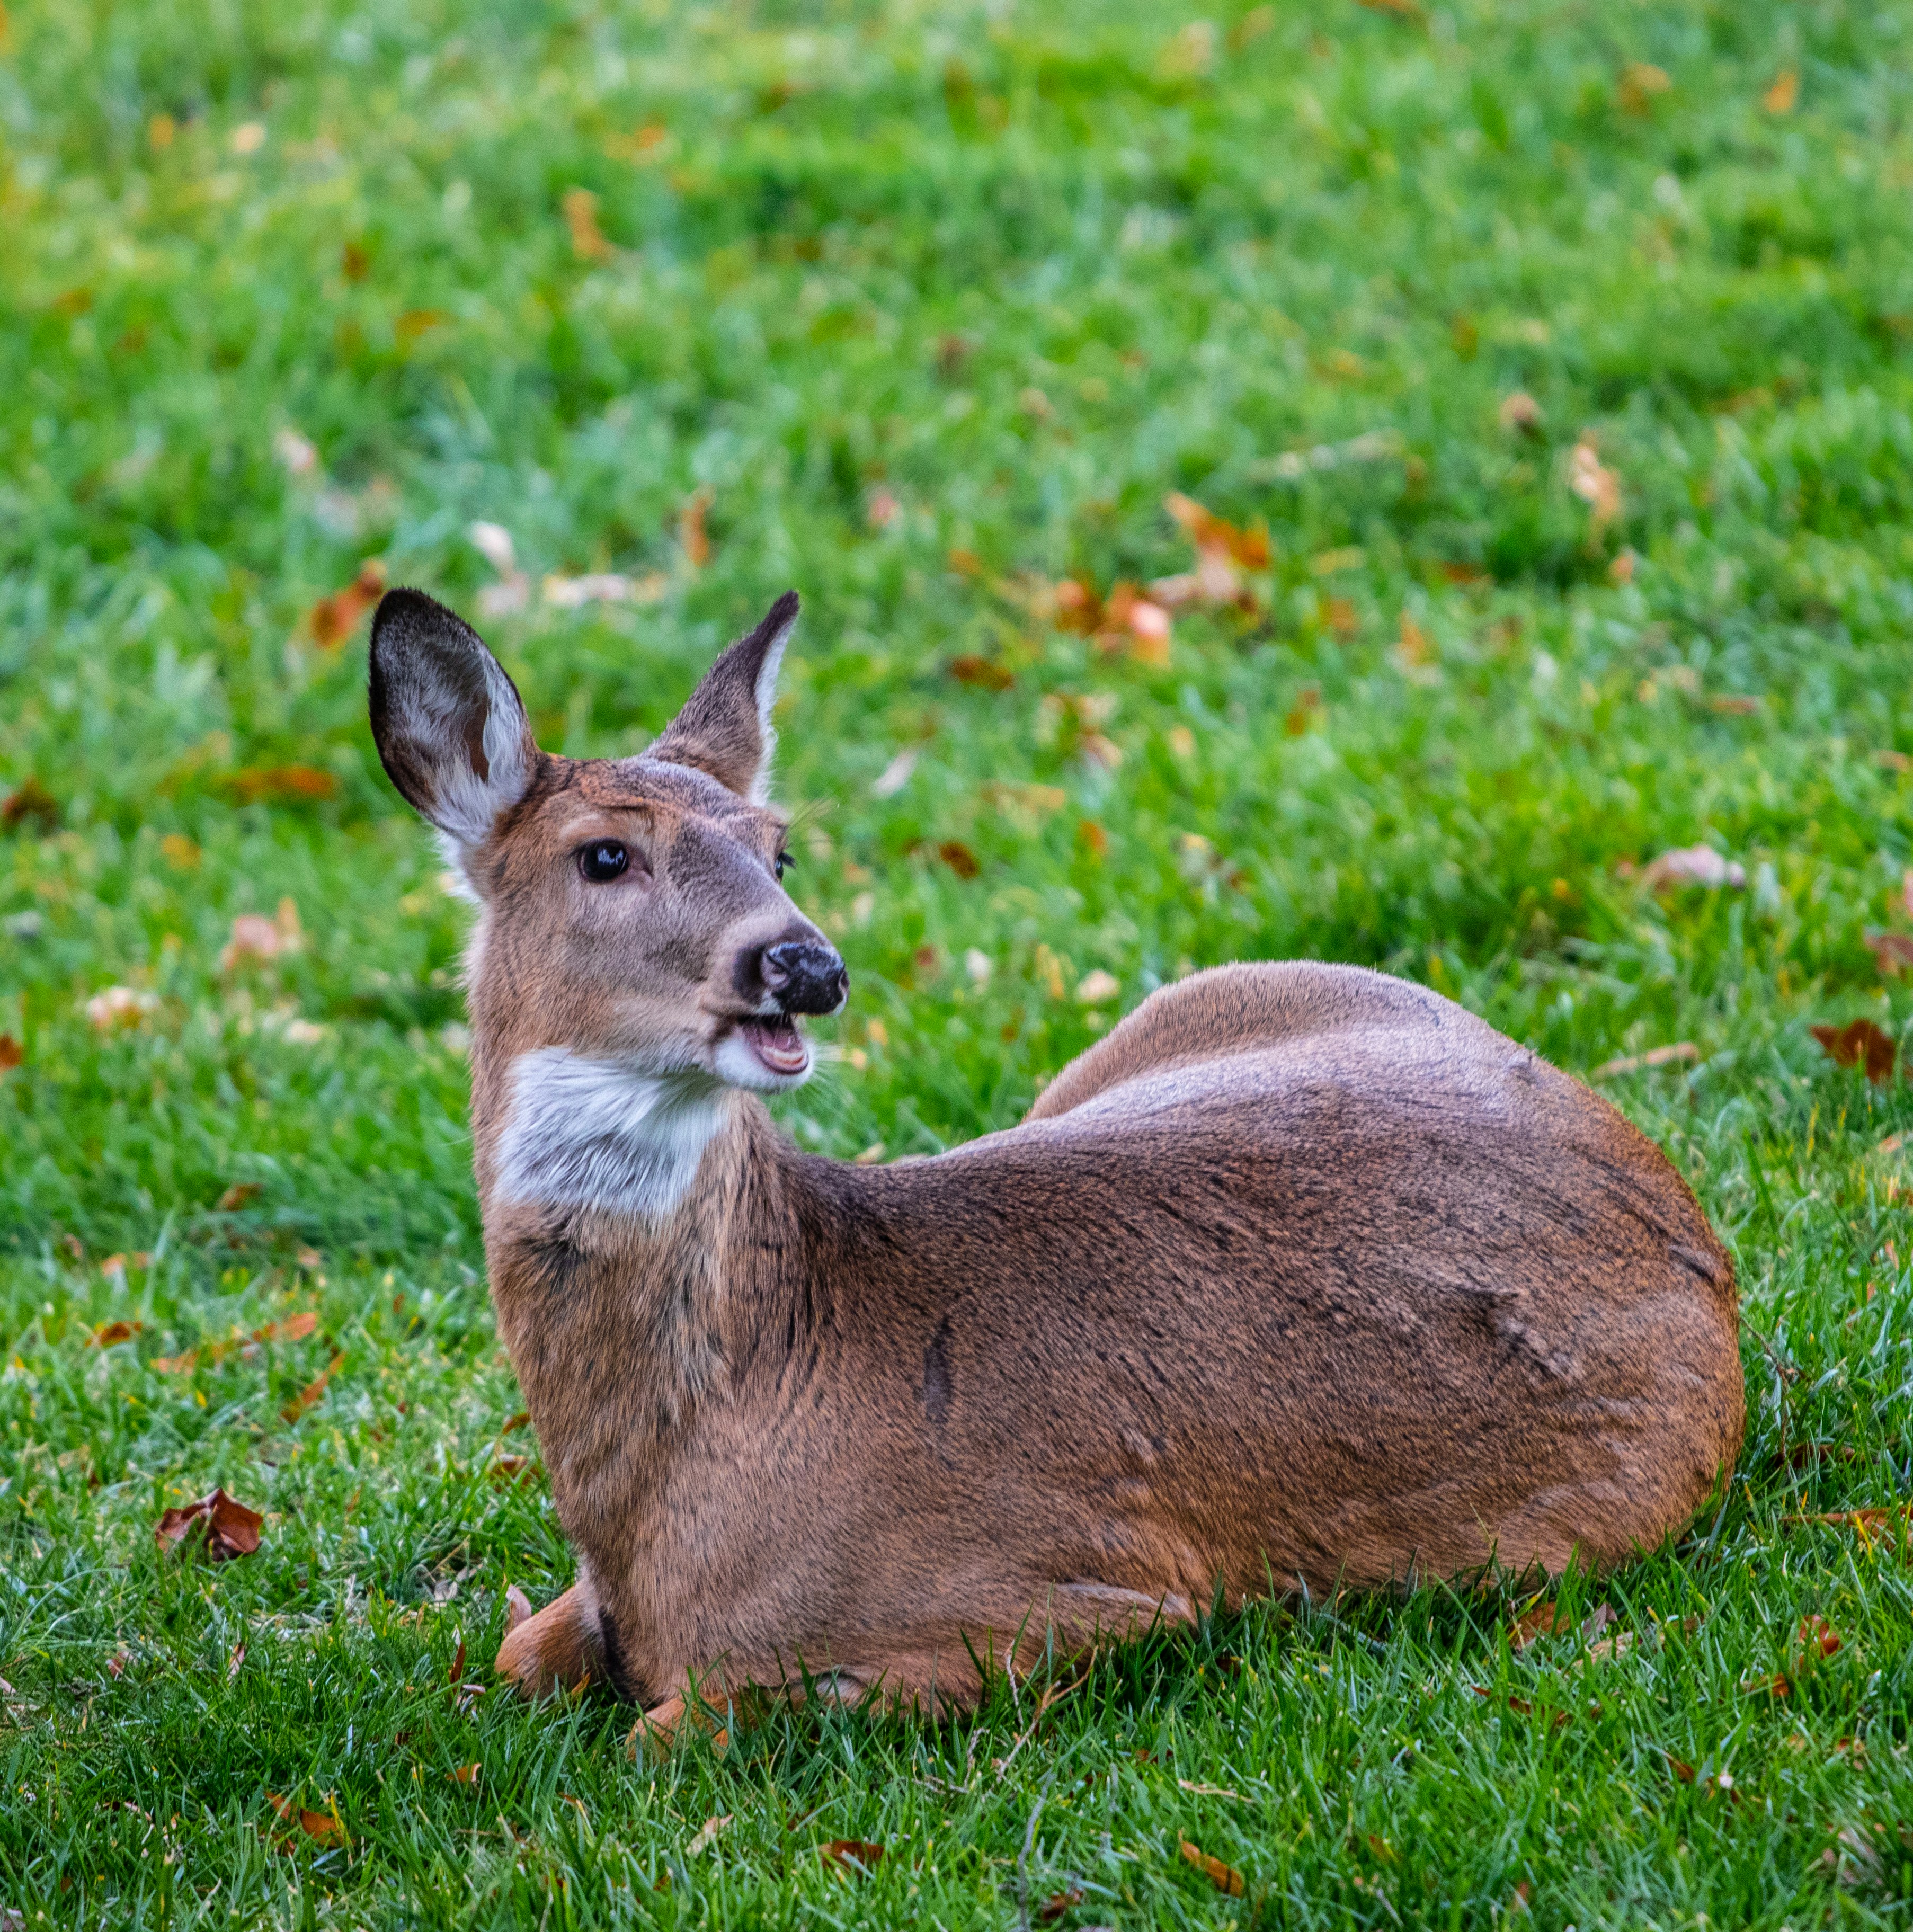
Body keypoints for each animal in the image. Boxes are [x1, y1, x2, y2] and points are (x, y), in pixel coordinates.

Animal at [367, 584, 1745, 1730]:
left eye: (778, 846)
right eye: (604, 853)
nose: (801, 963)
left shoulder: (1078, 1593)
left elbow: (679, 1724)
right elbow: (515, 1652)